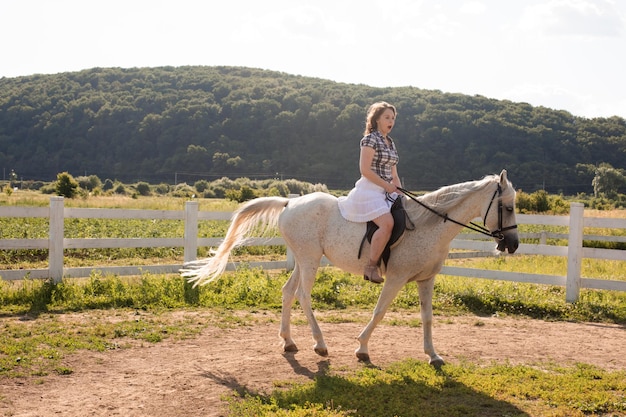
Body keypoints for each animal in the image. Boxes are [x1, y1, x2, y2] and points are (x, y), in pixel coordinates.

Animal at [180, 169, 516, 364]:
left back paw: (289, 342)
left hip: (303, 259)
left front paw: (433, 355)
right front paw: (362, 348)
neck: (428, 224)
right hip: (310, 260)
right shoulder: (395, 278)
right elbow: (379, 312)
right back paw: (320, 344)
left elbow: (428, 318)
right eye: (508, 206)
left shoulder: (426, 280)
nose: (511, 245)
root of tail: (290, 203)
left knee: (288, 292)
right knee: (302, 295)